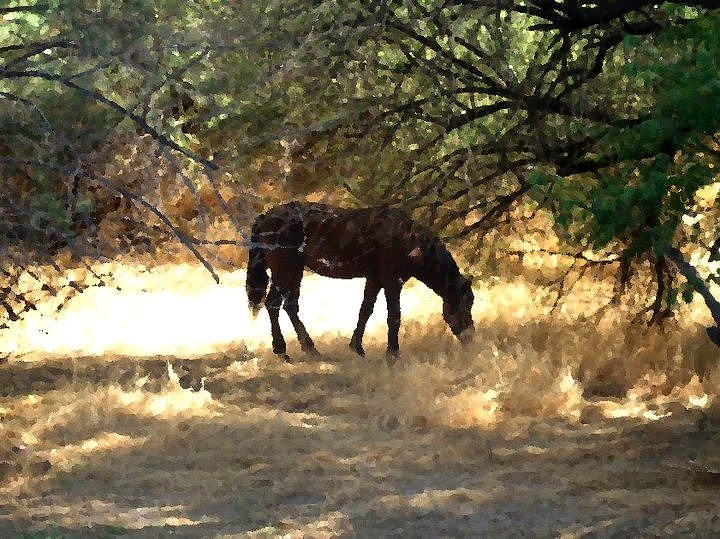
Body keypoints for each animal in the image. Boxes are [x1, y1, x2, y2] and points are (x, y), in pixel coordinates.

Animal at [245, 201, 474, 361]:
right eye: (464, 303)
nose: (471, 337)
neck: (409, 241)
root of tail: (265, 217)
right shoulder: (392, 282)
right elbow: (394, 317)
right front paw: (393, 354)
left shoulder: (374, 280)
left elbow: (365, 311)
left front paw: (357, 348)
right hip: (285, 270)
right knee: (275, 304)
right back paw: (287, 350)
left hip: (295, 271)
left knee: (287, 306)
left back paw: (305, 349)